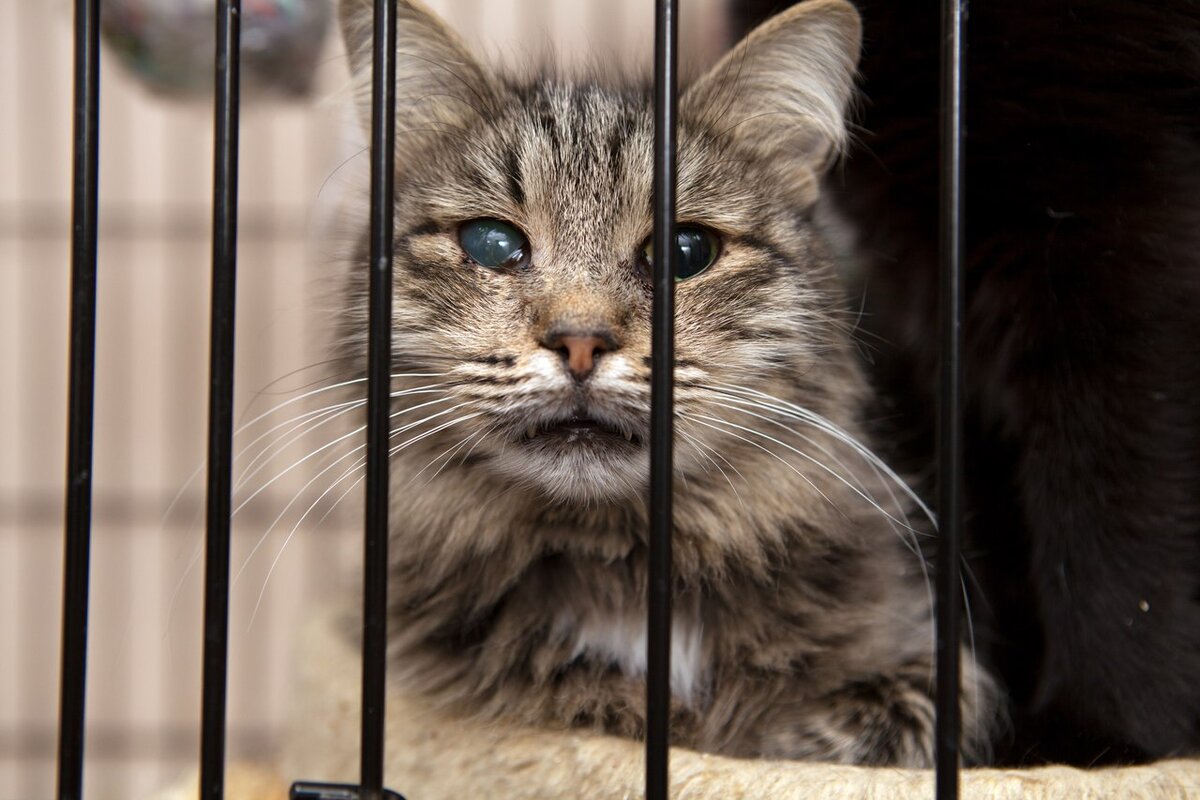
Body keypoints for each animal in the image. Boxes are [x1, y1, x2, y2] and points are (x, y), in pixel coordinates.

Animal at [328, 0, 993, 767]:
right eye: (492, 245)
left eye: (686, 251)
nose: (580, 340)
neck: (626, 567)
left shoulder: (932, 655)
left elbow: (875, 721)